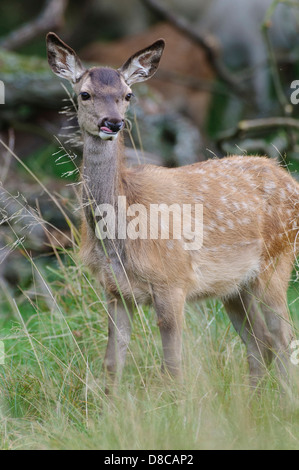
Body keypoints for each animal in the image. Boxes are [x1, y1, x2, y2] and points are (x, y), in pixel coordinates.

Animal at [46, 33, 299, 392]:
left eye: (128, 95)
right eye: (84, 94)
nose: (113, 123)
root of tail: (290, 180)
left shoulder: (172, 281)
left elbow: (173, 366)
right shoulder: (114, 289)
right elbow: (112, 363)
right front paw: (110, 405)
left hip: (277, 262)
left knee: (282, 338)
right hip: (235, 287)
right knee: (260, 342)